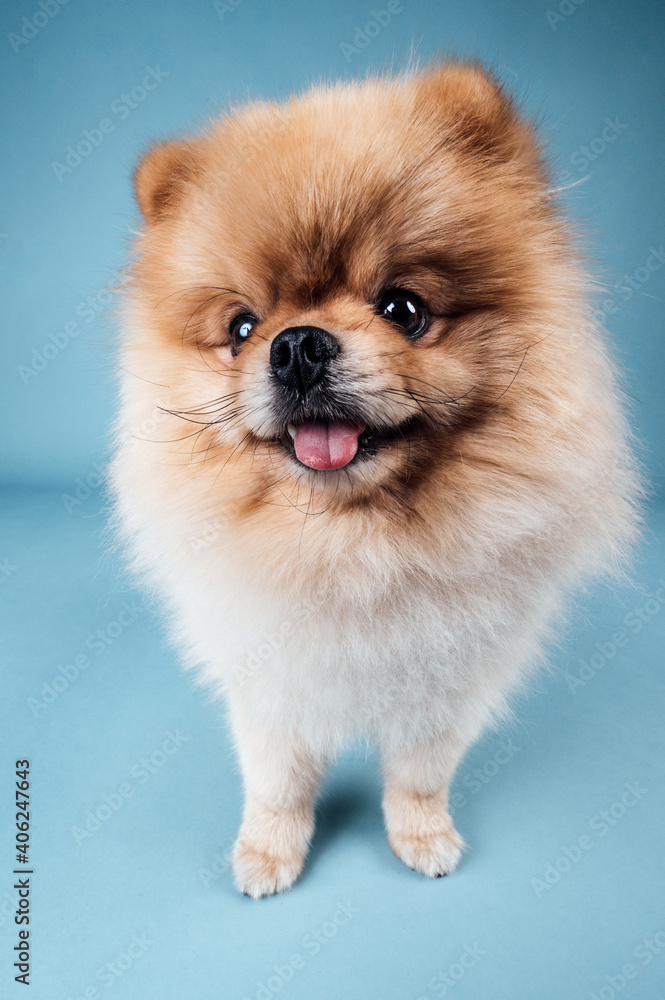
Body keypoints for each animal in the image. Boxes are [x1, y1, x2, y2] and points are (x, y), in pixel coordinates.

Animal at [111, 62, 640, 900]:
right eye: (241, 328)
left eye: (403, 308)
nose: (296, 345)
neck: (353, 547)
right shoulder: (272, 685)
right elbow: (277, 783)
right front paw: (268, 852)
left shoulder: (444, 687)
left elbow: (418, 777)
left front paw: (421, 836)